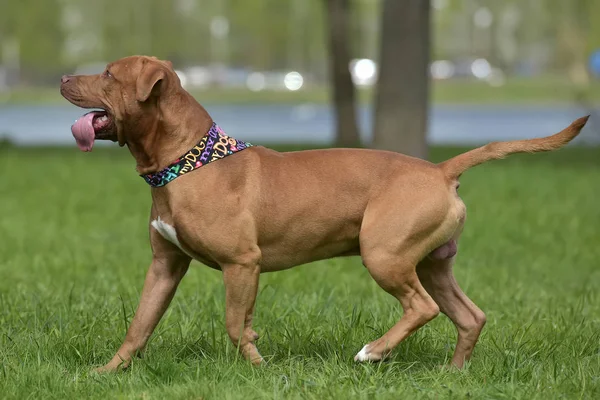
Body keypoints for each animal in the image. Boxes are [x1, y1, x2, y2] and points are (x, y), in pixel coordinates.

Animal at [59, 55, 584, 372]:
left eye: (108, 75)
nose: (62, 78)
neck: (187, 161)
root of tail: (440, 169)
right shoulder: (164, 266)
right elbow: (140, 325)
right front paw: (107, 372)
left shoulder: (242, 263)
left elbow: (234, 323)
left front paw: (258, 369)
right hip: (432, 263)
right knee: (469, 316)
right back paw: (453, 375)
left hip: (384, 254)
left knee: (422, 308)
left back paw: (373, 352)